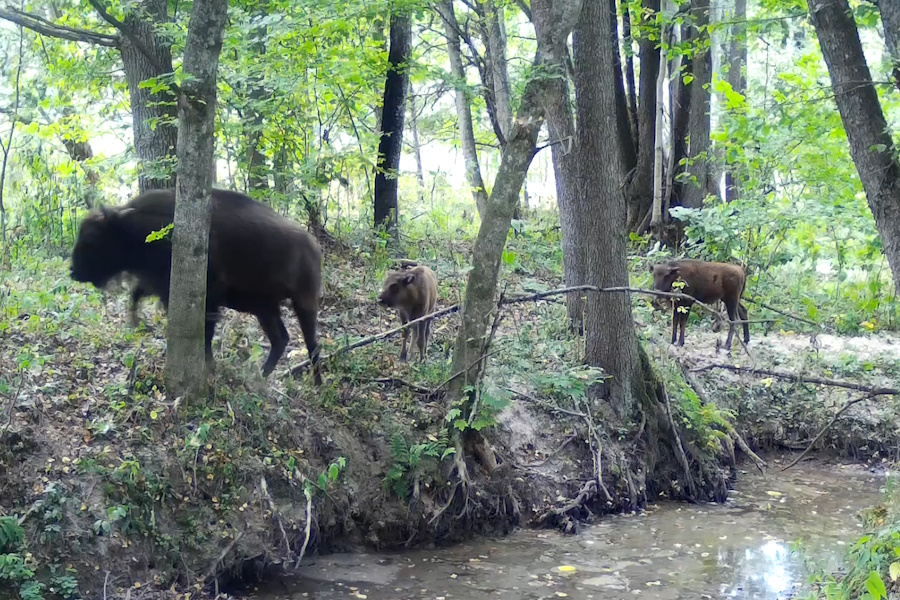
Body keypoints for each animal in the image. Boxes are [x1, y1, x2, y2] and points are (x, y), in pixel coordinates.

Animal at [70, 188, 324, 384]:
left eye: (92, 239)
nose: (73, 271)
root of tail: (314, 245)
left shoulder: (208, 299)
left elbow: (206, 333)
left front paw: (208, 365)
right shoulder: (158, 285)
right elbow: (136, 294)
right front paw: (134, 321)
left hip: (303, 303)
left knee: (312, 343)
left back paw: (316, 383)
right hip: (265, 308)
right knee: (280, 339)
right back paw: (261, 377)